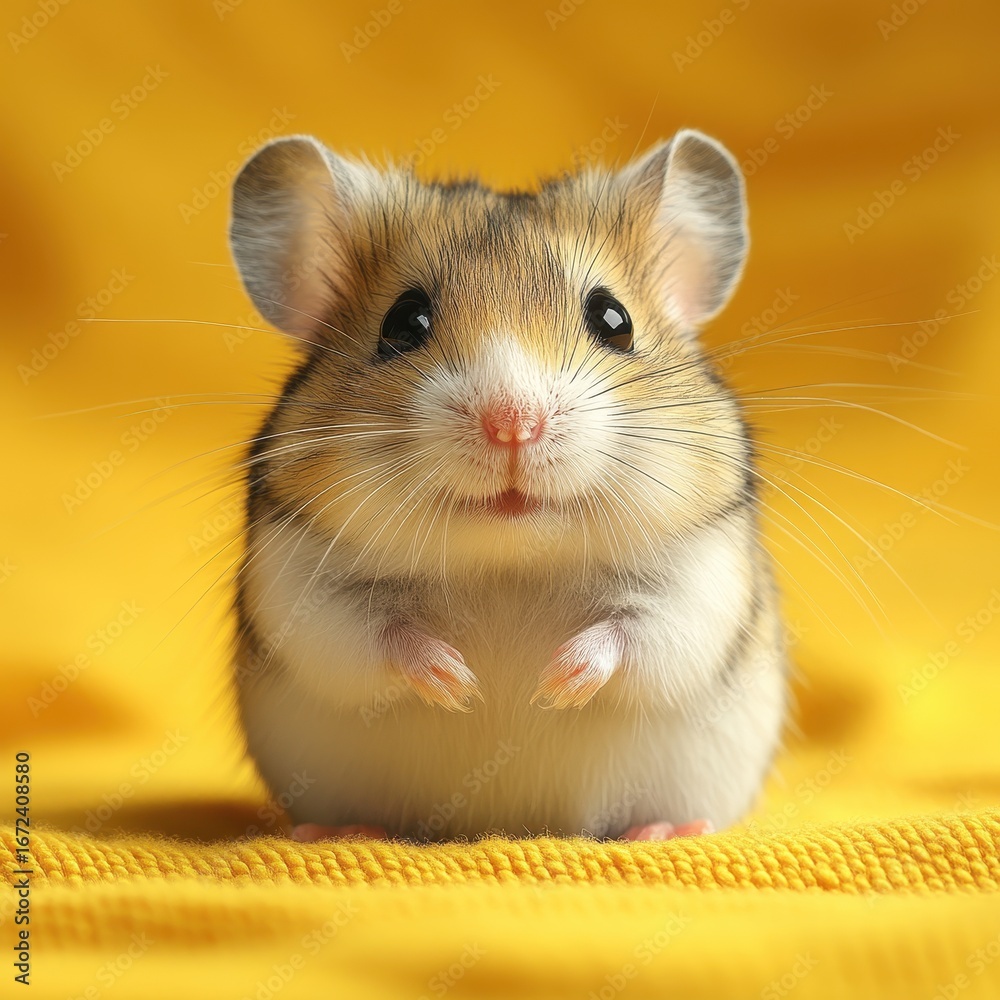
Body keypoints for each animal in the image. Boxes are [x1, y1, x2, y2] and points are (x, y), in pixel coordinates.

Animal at [228, 128, 786, 842]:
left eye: (614, 320)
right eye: (403, 323)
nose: (512, 424)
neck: (508, 560)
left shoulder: (701, 581)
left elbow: (636, 635)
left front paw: (551, 684)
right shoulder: (301, 581)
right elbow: (369, 636)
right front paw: (461, 683)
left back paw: (663, 831)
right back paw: (342, 832)